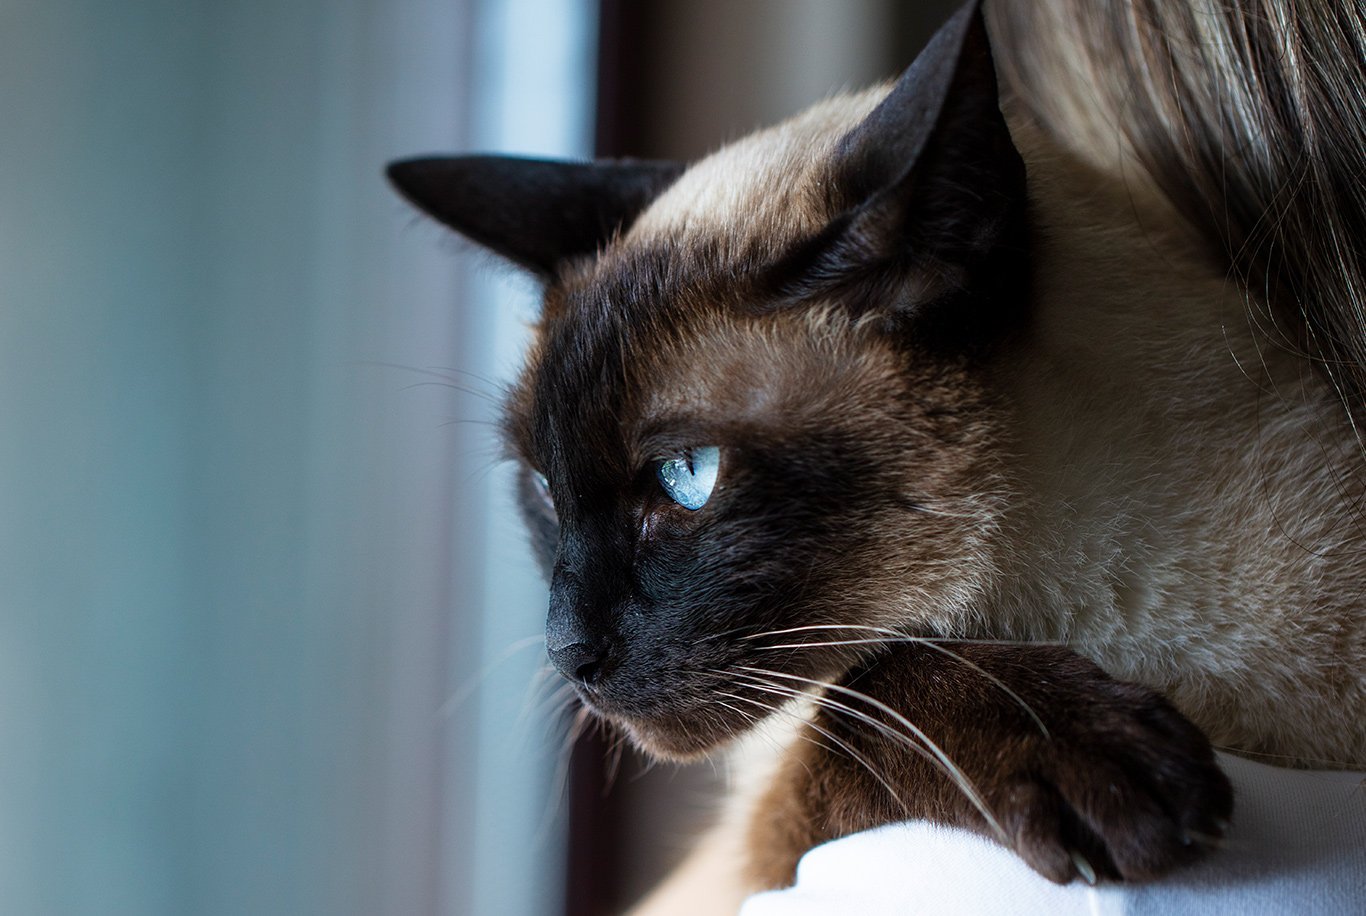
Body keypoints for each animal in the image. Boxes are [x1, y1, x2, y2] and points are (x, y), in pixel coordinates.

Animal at [387, 0, 1366, 900]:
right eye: (543, 489)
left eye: (686, 477)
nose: (567, 655)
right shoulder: (755, 828)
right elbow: (870, 694)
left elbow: (873, 691)